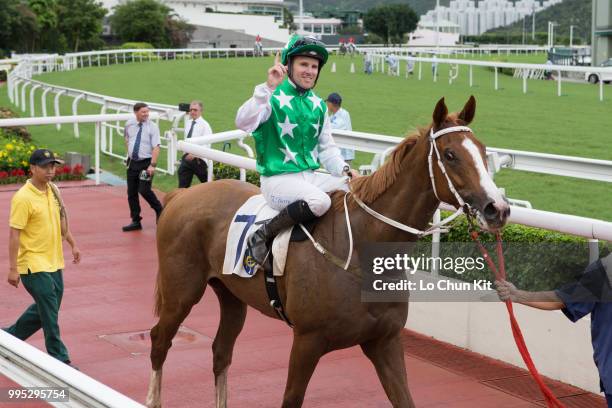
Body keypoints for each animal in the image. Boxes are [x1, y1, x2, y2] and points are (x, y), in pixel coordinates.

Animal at [146, 97, 510, 406]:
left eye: (482, 151)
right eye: (450, 155)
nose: (498, 208)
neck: (360, 248)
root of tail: (181, 195)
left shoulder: (385, 341)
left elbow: (404, 399)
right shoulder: (306, 341)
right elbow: (291, 399)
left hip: (232, 295)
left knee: (221, 352)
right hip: (181, 293)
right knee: (159, 340)